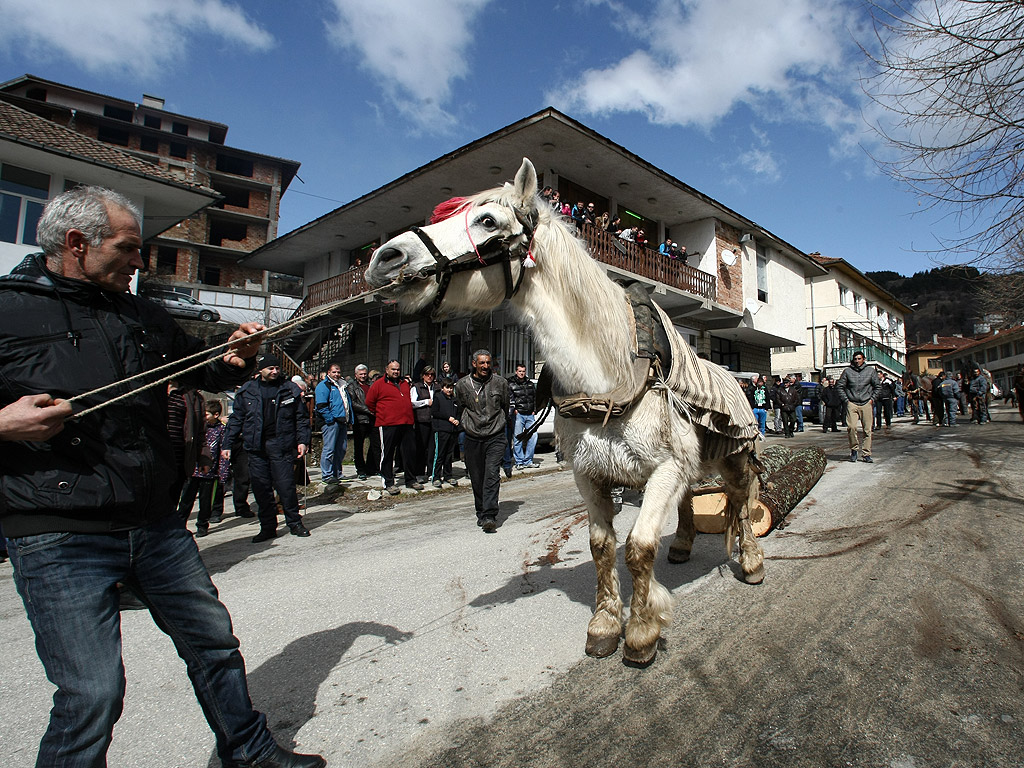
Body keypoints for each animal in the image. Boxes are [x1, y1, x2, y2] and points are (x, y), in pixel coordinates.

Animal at [364, 159, 765, 663]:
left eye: (488, 221)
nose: (385, 258)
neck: (609, 375)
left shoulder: (666, 469)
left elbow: (638, 547)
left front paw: (642, 631)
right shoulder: (590, 474)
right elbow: (601, 546)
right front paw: (606, 624)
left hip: (734, 459)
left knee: (741, 501)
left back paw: (751, 562)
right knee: (694, 503)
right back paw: (683, 546)